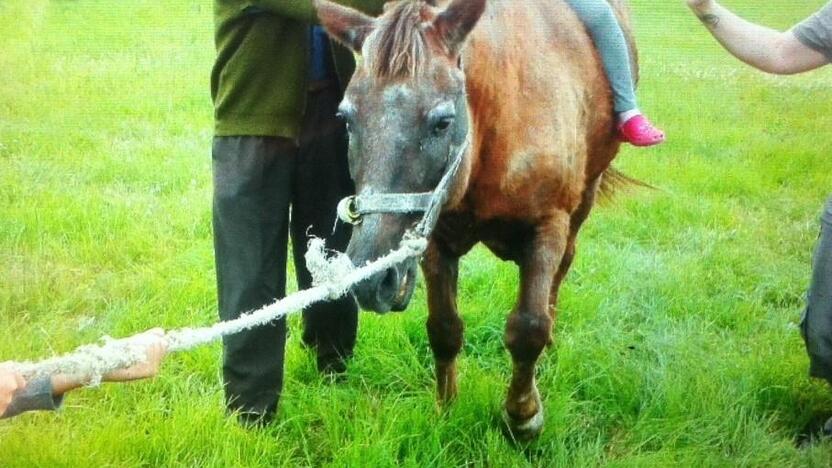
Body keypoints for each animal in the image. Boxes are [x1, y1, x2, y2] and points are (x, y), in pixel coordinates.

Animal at [316, 0, 632, 438]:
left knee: (563, 268)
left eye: (442, 121)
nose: (371, 278)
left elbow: (529, 327)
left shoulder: (548, 225)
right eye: (346, 118)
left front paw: (523, 417)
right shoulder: (434, 238)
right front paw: (446, 408)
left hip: (585, 196)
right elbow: (444, 328)